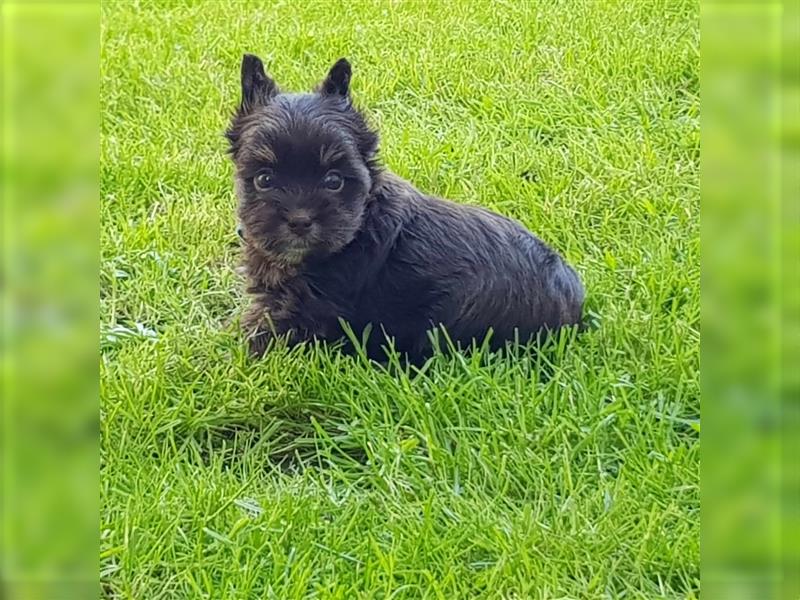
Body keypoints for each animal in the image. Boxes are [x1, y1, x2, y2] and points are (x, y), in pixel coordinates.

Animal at [225, 55, 580, 360]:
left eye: (334, 181)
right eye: (264, 179)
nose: (300, 221)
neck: (363, 218)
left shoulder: (299, 309)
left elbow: (263, 331)